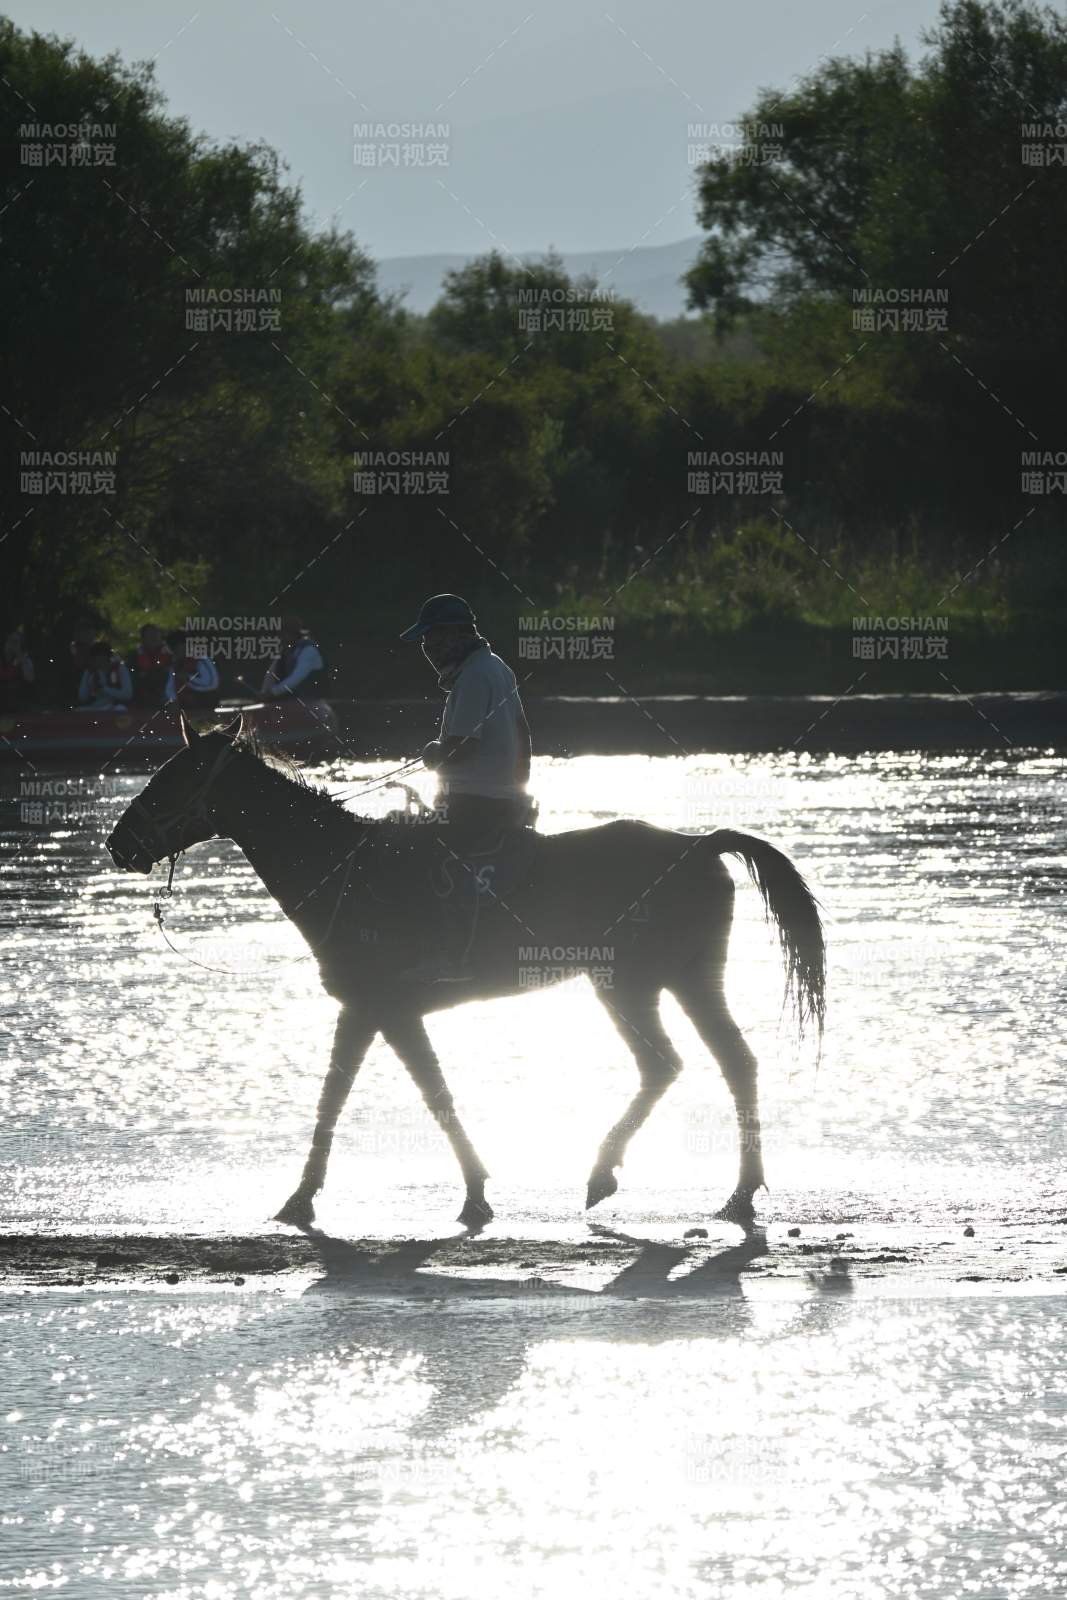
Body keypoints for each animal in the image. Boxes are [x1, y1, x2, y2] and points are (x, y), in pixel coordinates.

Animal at [105, 711, 825, 1232]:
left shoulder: (383, 1009)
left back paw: (617, 1174)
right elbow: (358, 1097)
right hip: (680, 980)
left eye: (172, 778)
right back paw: (733, 1190)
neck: (344, 866)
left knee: (670, 1064)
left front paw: (465, 1193)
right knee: (727, 1063)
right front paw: (309, 1195)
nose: (119, 843)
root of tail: (698, 844)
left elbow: (415, 1096)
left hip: (630, 984)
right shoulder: (371, 1011)